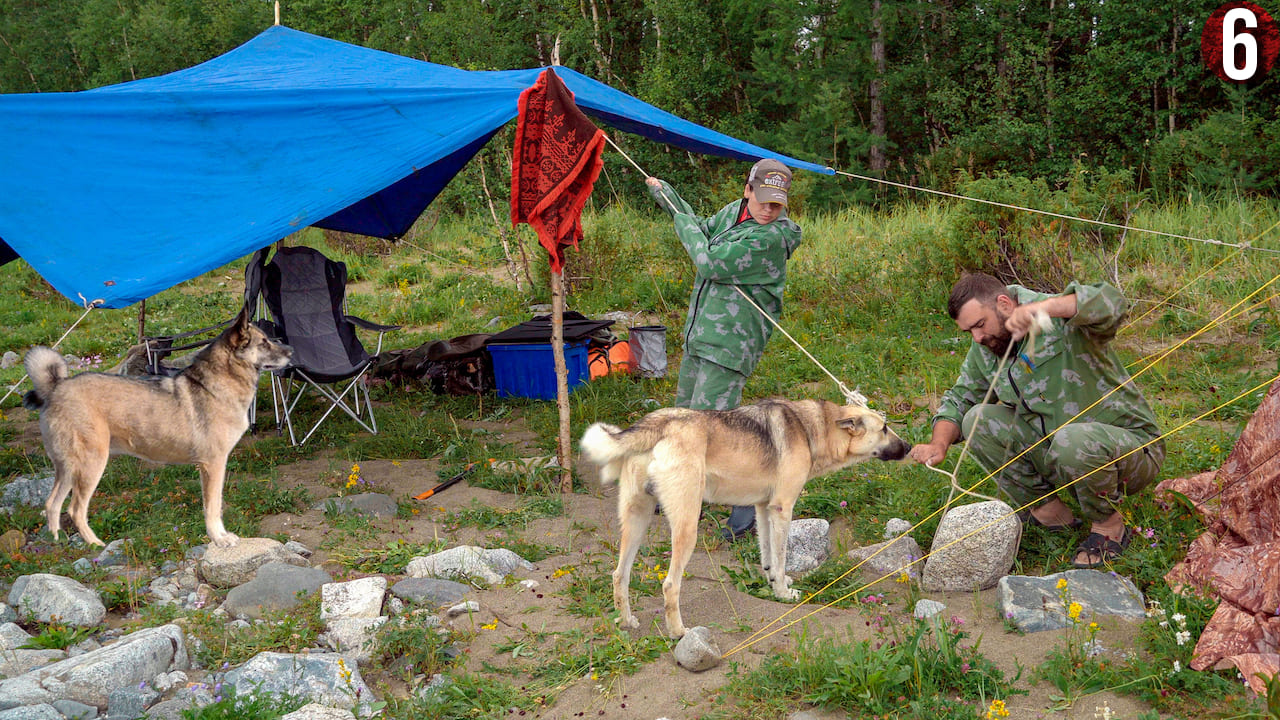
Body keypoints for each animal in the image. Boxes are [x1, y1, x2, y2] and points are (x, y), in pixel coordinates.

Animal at [24, 302, 293, 543]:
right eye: (264, 342)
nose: (291, 350)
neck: (219, 383)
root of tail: (56, 388)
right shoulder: (213, 464)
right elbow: (213, 507)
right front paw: (219, 538)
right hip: (91, 464)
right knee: (75, 510)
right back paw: (94, 546)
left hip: (68, 468)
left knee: (52, 504)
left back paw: (58, 543)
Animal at [581, 394, 911, 635]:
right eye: (883, 428)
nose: (908, 446)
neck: (810, 427)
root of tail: (659, 422)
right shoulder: (782, 509)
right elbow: (780, 558)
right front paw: (783, 593)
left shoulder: (764, 509)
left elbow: (768, 558)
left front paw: (774, 583)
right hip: (686, 528)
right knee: (670, 585)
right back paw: (679, 632)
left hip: (636, 521)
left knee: (619, 574)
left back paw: (626, 622)